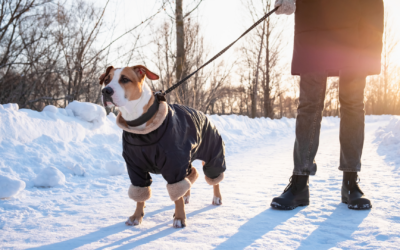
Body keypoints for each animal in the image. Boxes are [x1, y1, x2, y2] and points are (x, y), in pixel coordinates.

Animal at [99, 65, 227, 228]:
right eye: (106, 80)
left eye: (125, 79)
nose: (106, 91)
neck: (141, 130)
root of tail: (203, 114)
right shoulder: (135, 167)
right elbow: (140, 193)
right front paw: (137, 216)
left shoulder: (174, 164)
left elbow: (176, 195)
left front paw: (179, 218)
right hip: (187, 159)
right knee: (192, 174)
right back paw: (187, 195)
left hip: (212, 153)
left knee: (214, 177)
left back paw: (216, 197)